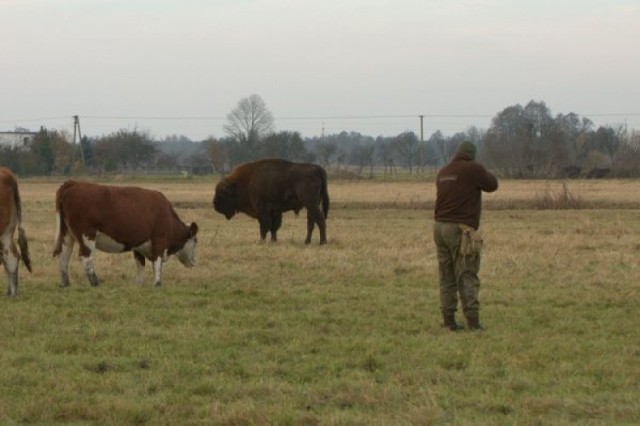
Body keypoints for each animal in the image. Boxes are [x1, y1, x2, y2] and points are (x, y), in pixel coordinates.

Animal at [52, 181, 198, 288]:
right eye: (196, 241)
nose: (194, 262)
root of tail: (74, 183)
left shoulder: (139, 245)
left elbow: (140, 265)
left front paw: (138, 284)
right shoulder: (159, 241)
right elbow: (157, 264)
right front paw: (157, 283)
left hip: (67, 234)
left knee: (64, 255)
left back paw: (65, 283)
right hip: (87, 235)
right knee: (85, 257)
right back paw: (95, 282)